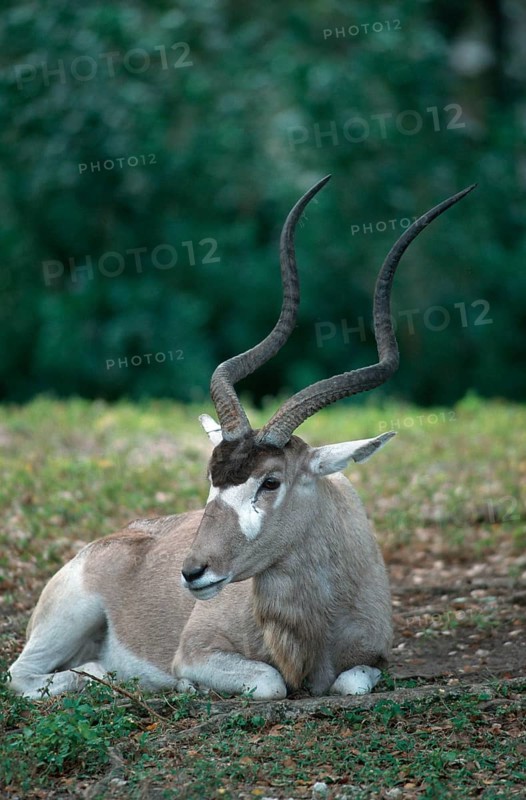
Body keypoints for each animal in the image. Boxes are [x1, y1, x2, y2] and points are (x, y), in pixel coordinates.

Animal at [9, 177, 474, 700]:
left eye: (270, 481)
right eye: (211, 478)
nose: (193, 572)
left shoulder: (373, 659)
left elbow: (350, 683)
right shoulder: (197, 652)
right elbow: (270, 682)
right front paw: (189, 686)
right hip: (67, 621)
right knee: (26, 674)